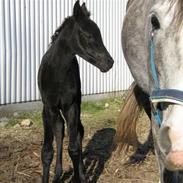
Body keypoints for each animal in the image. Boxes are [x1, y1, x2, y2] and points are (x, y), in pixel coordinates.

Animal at [38, 0, 113, 182]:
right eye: (88, 35)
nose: (109, 62)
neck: (57, 72)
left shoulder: (71, 106)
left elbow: (74, 147)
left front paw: (81, 177)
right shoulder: (49, 107)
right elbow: (47, 151)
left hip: (76, 104)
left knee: (78, 133)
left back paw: (80, 172)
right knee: (60, 130)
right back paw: (58, 174)